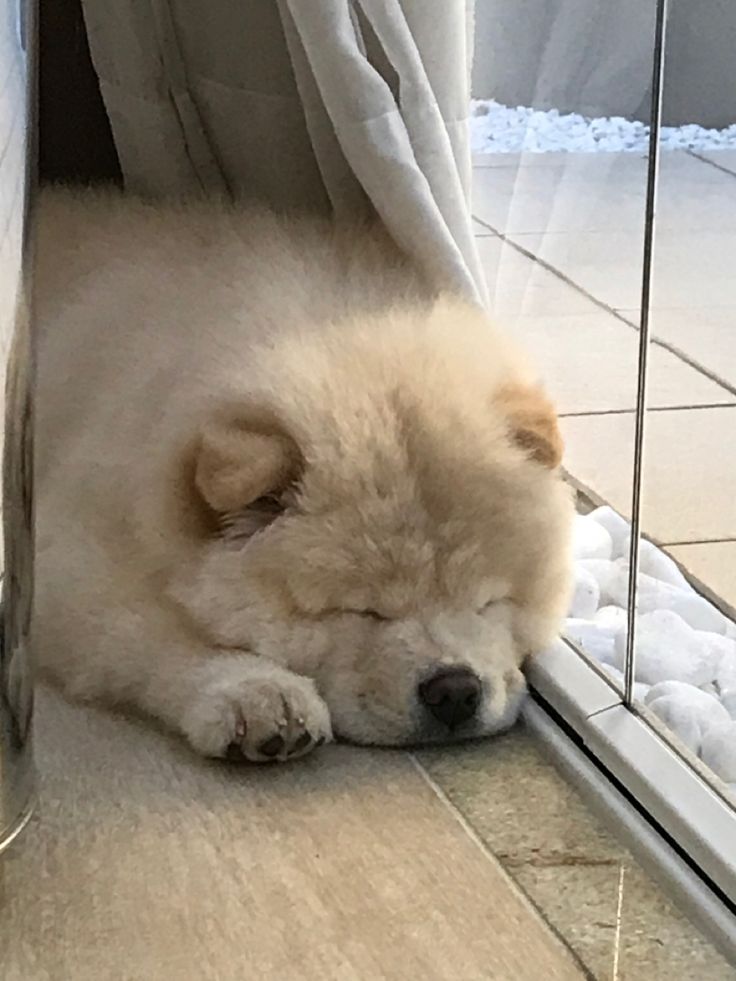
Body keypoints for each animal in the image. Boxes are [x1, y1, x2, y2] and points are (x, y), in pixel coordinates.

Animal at [33, 188, 576, 760]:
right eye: (359, 611)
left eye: (490, 600)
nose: (453, 690)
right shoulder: (70, 558)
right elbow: (157, 633)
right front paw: (260, 695)